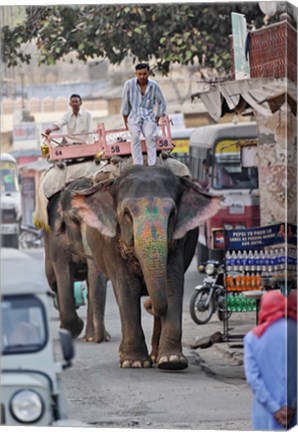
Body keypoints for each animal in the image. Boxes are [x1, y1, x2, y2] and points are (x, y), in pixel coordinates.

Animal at [43, 177, 110, 342]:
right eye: (75, 219)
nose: (101, 339)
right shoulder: (56, 241)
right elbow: (64, 274)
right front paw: (73, 330)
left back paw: (91, 337)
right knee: (53, 280)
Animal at [66, 164, 219, 370]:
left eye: (172, 214)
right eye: (127, 214)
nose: (148, 303)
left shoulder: (179, 241)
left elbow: (172, 284)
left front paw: (172, 362)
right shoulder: (110, 244)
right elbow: (127, 288)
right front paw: (134, 362)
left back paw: (156, 356)